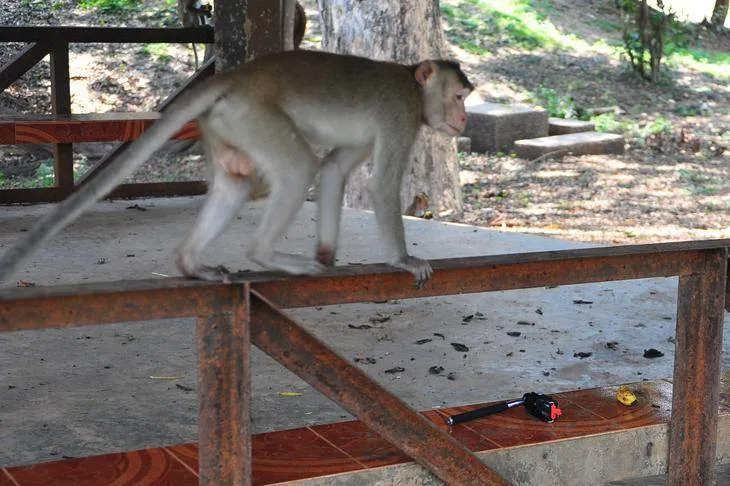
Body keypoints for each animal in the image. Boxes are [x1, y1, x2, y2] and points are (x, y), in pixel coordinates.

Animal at [0, 50, 473, 287]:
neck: (413, 88)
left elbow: (335, 169)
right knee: (297, 168)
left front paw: (327, 253)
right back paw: (263, 254)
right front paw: (404, 260)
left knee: (236, 182)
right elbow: (380, 187)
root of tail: (237, 77)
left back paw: (190, 262)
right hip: (254, 114)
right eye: (459, 96)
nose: (466, 118)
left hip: (226, 122)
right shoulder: (399, 114)